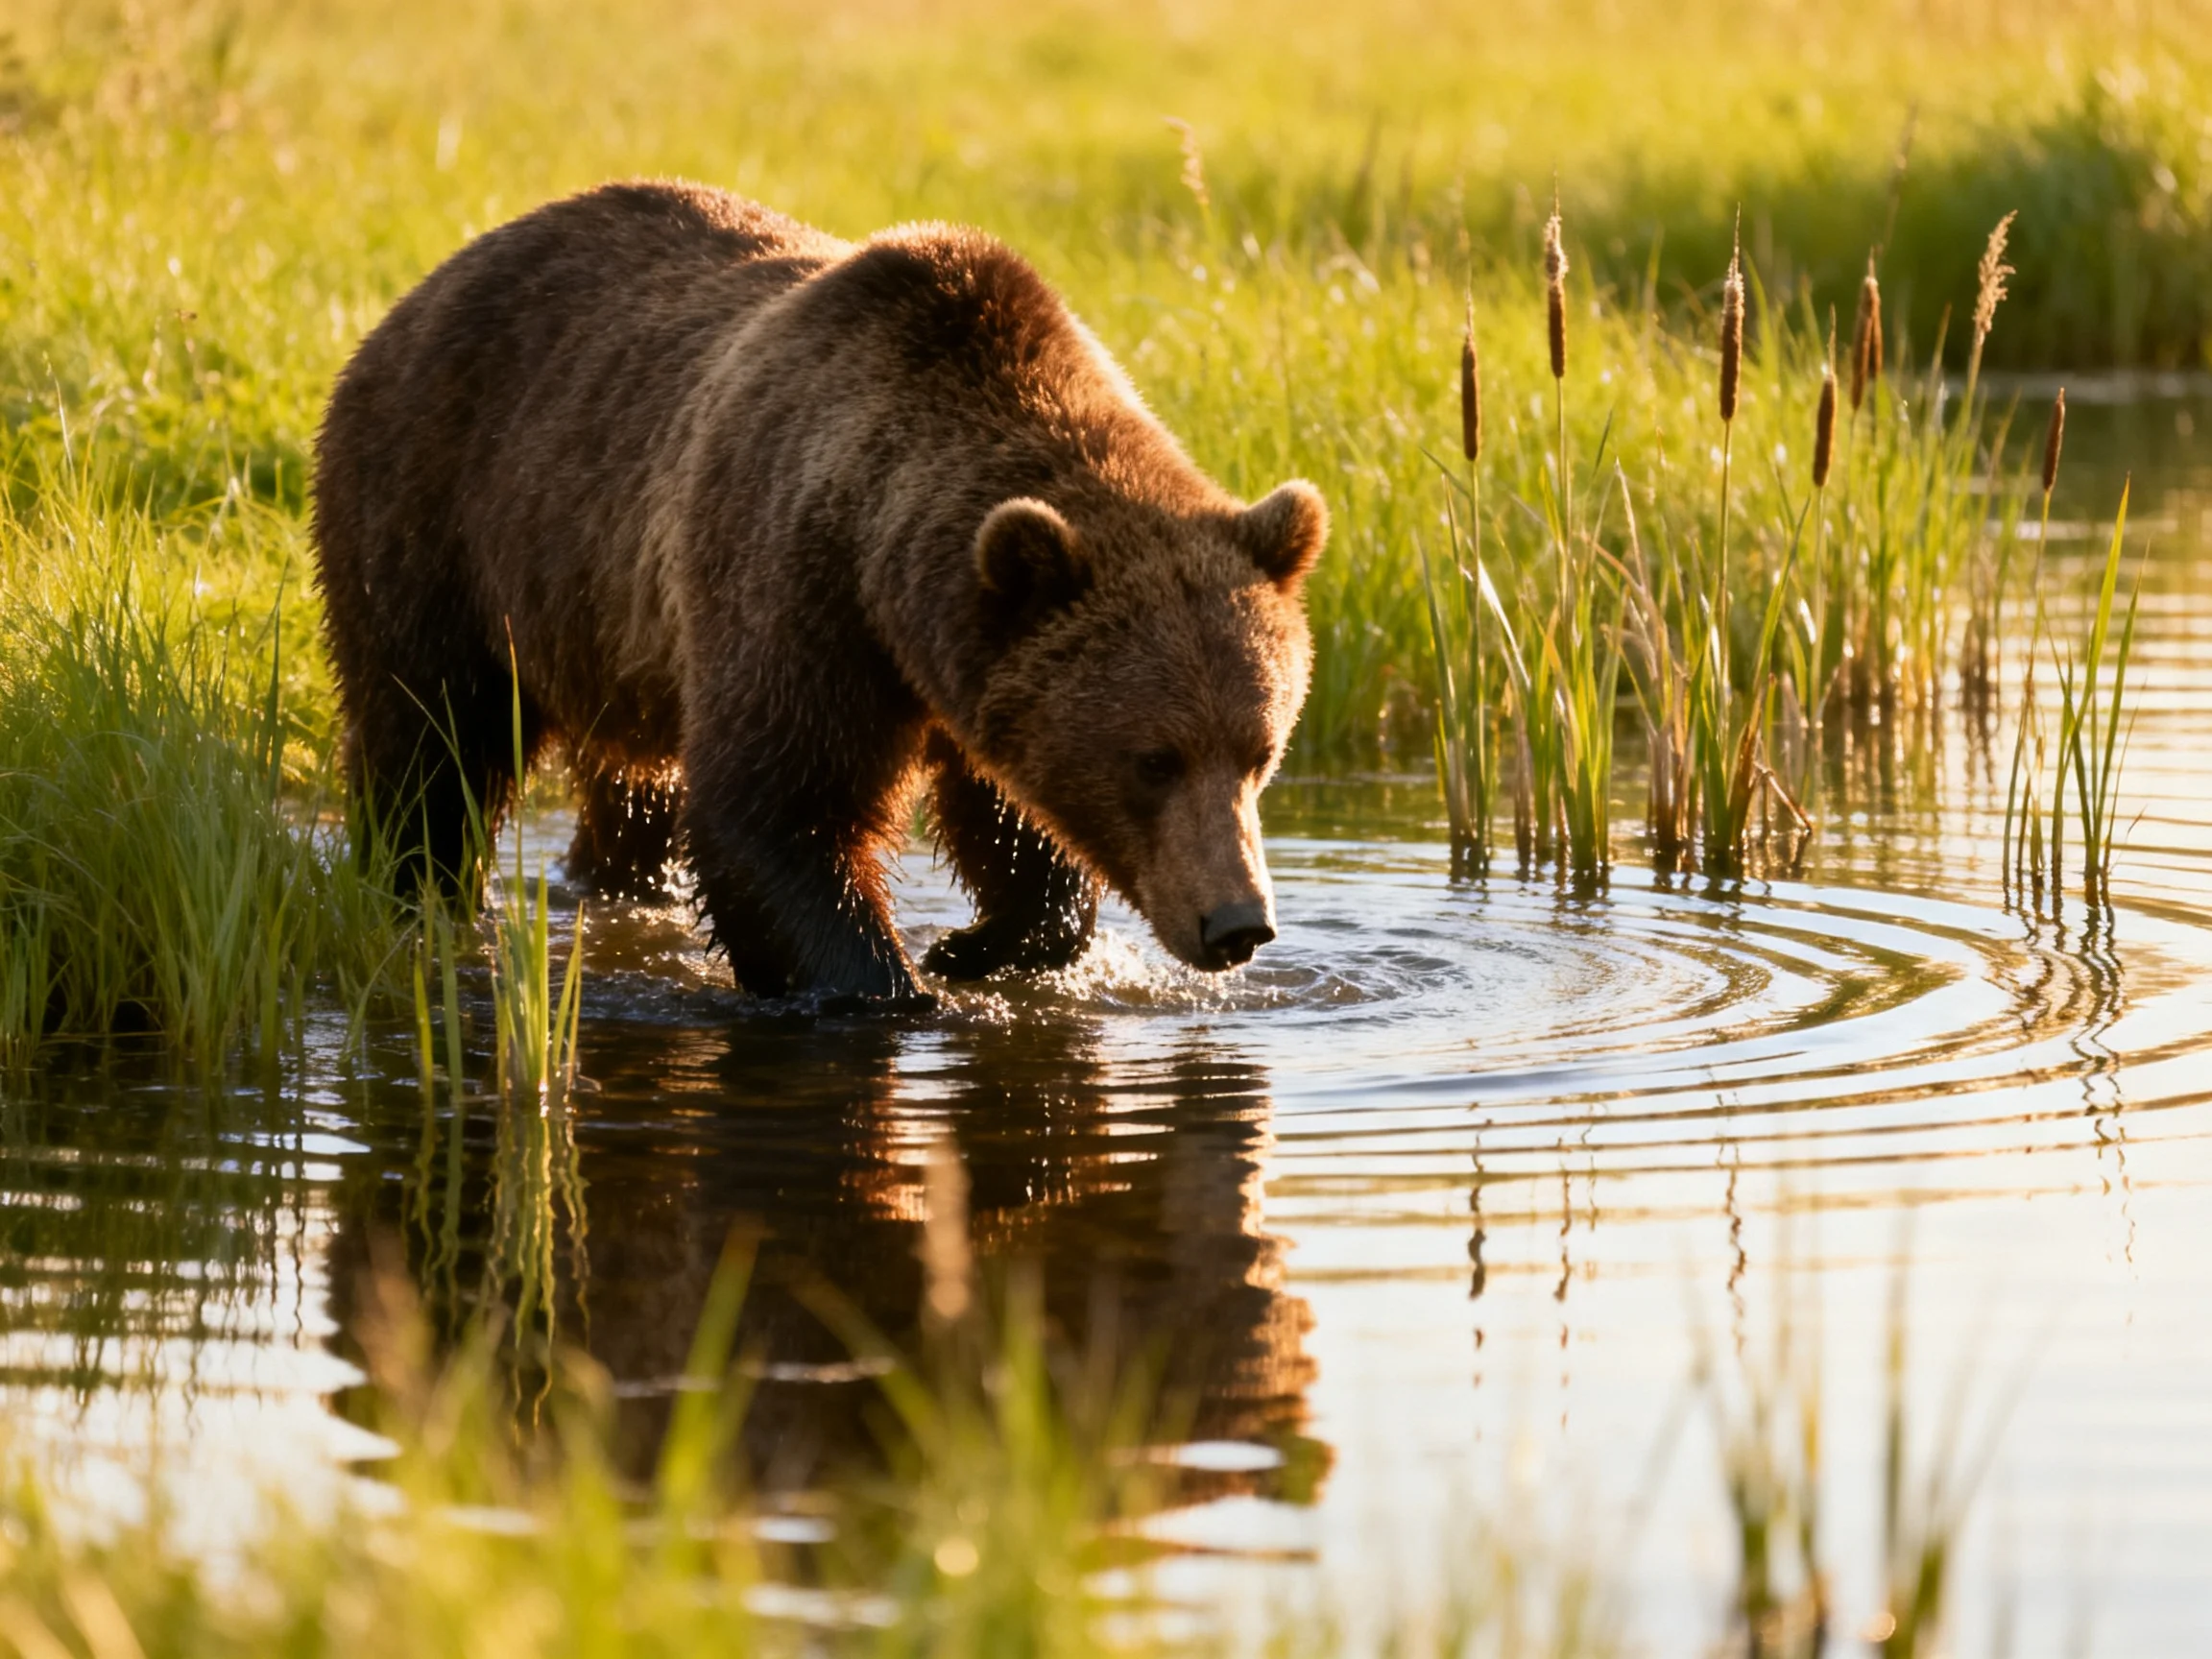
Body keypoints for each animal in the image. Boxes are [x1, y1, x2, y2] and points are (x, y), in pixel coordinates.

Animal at [312, 181, 1326, 1004]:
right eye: (1153, 759)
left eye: (1260, 752)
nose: (1238, 924)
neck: (890, 582)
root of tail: (434, 279)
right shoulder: (798, 589)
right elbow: (777, 808)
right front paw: (889, 985)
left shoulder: (972, 656)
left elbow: (1008, 818)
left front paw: (979, 946)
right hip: (434, 515)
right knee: (430, 737)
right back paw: (420, 888)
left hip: (607, 624)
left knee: (629, 783)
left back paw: (615, 880)